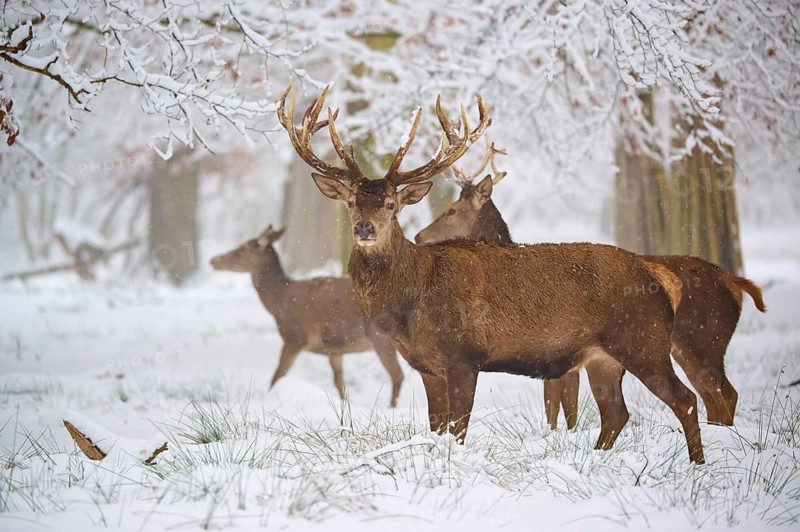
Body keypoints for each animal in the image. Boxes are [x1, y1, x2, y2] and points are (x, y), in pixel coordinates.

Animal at [210, 225, 405, 407]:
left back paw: (391, 408)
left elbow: (277, 377)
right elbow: (339, 383)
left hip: (380, 336)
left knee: (398, 375)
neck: (277, 300)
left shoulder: (294, 337)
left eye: (243, 248)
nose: (213, 260)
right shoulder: (334, 348)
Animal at [278, 85, 708, 464]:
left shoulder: (464, 357)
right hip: (604, 357)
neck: (411, 303)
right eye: (351, 201)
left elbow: (458, 431)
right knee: (617, 413)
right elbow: (436, 428)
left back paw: (696, 467)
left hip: (643, 341)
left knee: (685, 400)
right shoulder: (426, 366)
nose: (363, 228)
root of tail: (661, 278)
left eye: (389, 205)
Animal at [415, 139, 767, 430]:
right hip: (692, 346)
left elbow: (561, 409)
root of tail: (736, 282)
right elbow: (557, 409)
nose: (419, 236)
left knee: (723, 393)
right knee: (715, 396)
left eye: (452, 210)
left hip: (703, 340)